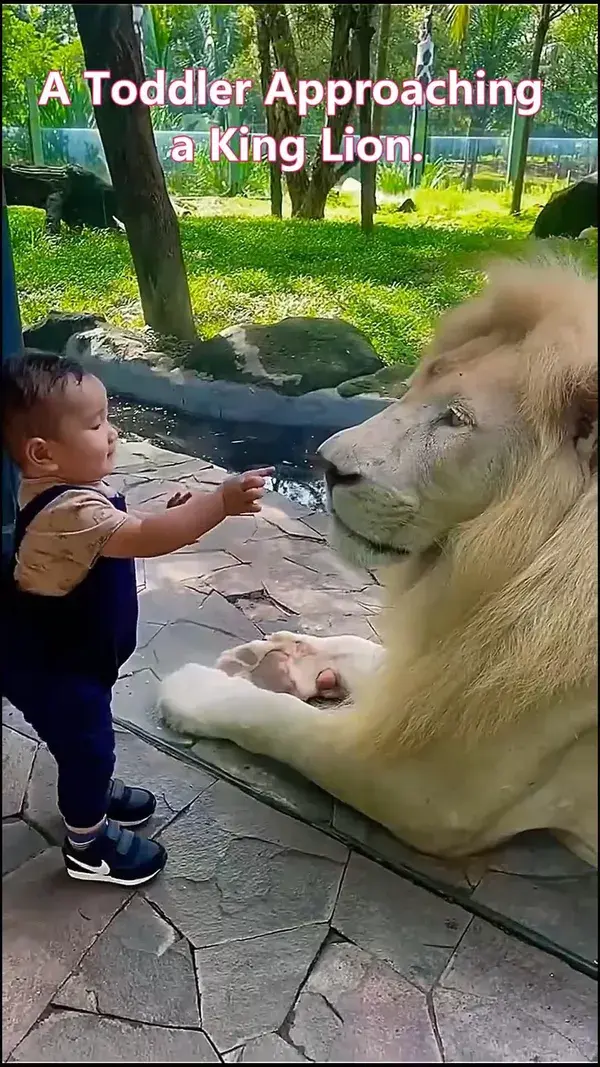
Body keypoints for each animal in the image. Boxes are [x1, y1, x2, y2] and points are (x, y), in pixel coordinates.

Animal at [158, 256, 593, 866]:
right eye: (417, 385)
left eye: (455, 419)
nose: (325, 465)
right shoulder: (451, 668)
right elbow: (373, 657)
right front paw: (286, 657)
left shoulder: (427, 790)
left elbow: (281, 723)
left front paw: (194, 689)